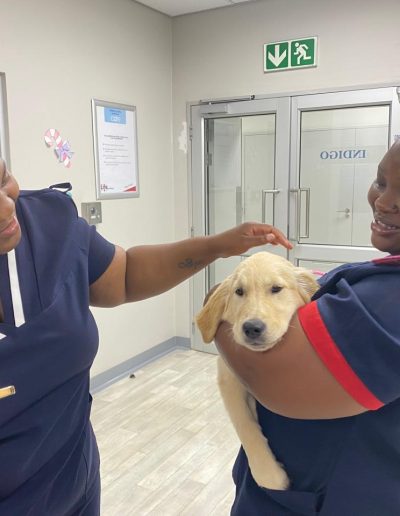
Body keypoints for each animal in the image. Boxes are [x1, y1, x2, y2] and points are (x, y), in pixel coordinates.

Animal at [195, 252, 318, 490]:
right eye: (239, 292)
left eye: (276, 288)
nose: (252, 328)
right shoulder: (228, 378)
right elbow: (245, 424)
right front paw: (269, 475)